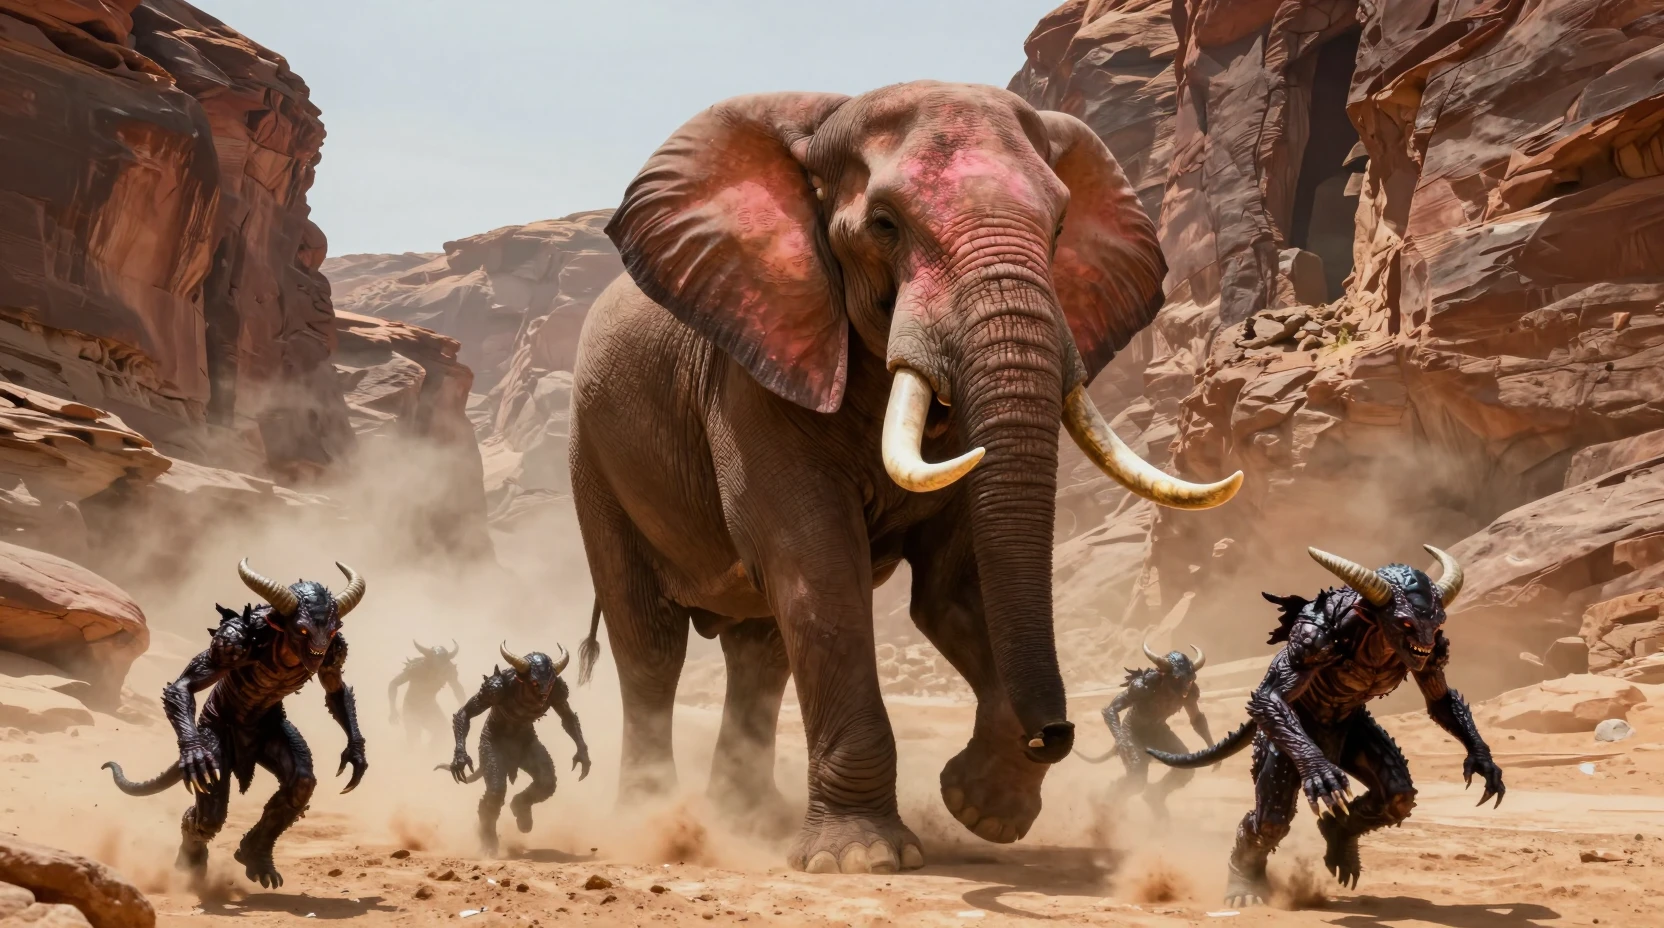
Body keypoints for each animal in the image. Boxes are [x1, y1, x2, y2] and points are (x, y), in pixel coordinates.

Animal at [569, 80, 1241, 874]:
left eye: (1058, 227)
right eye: (885, 226)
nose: (1057, 735)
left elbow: (956, 588)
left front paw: (983, 809)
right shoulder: (754, 370)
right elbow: (820, 570)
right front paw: (860, 859)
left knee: (760, 652)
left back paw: (750, 820)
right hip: (594, 458)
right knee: (650, 641)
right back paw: (654, 824)